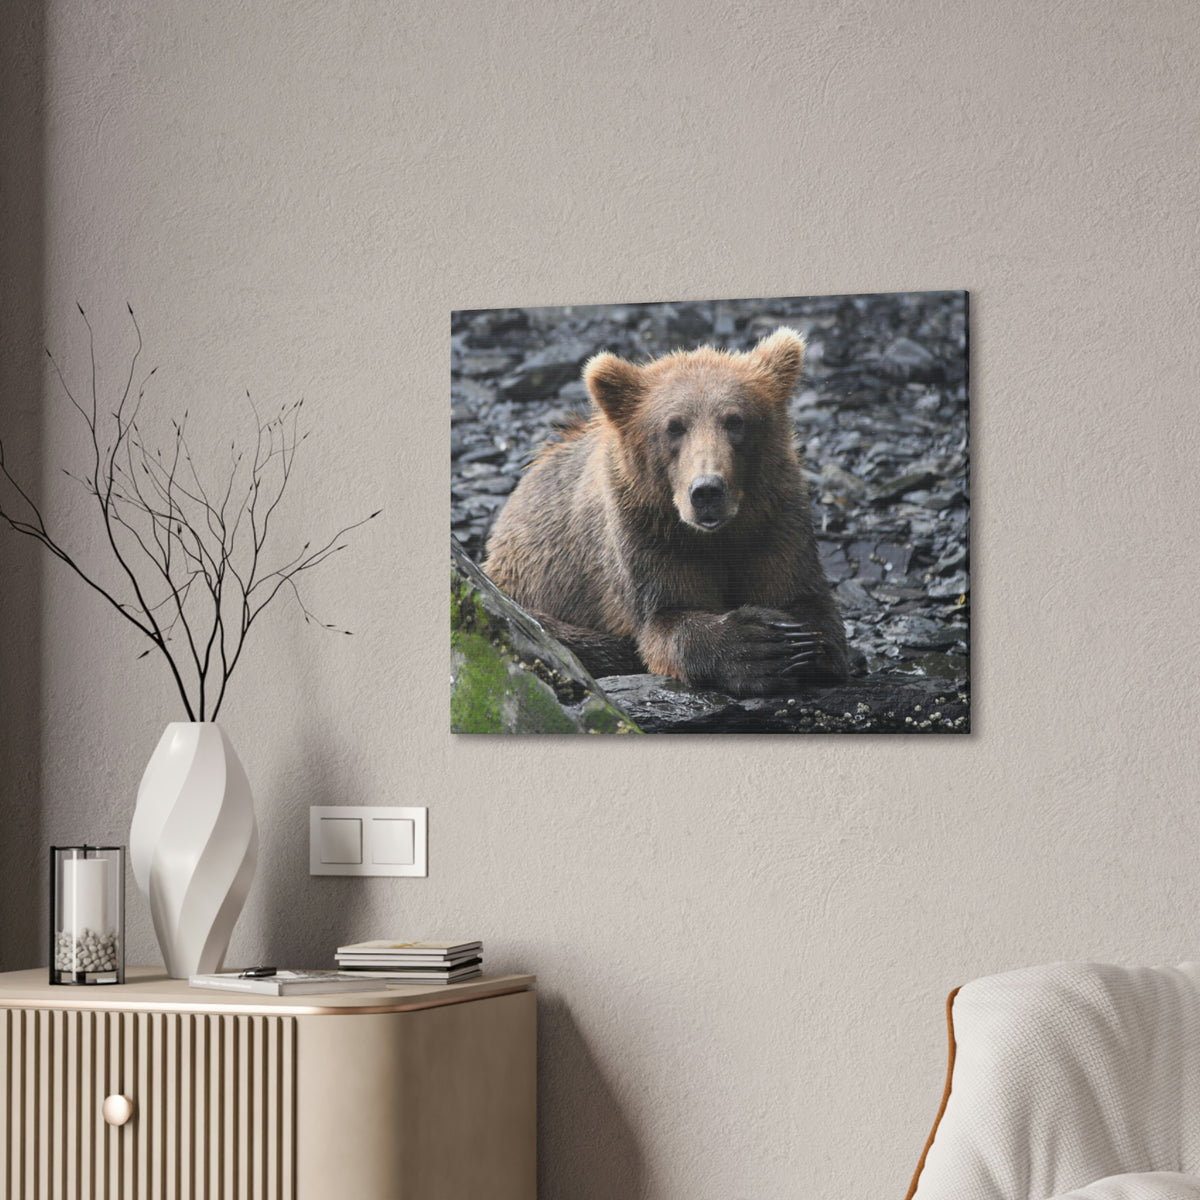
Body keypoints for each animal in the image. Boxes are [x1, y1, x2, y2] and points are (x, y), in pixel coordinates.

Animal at [482, 327, 849, 697]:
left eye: (735, 421)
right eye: (674, 426)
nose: (707, 491)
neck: (717, 536)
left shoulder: (774, 520)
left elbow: (804, 599)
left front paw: (800, 644)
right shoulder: (648, 534)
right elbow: (667, 619)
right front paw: (758, 646)